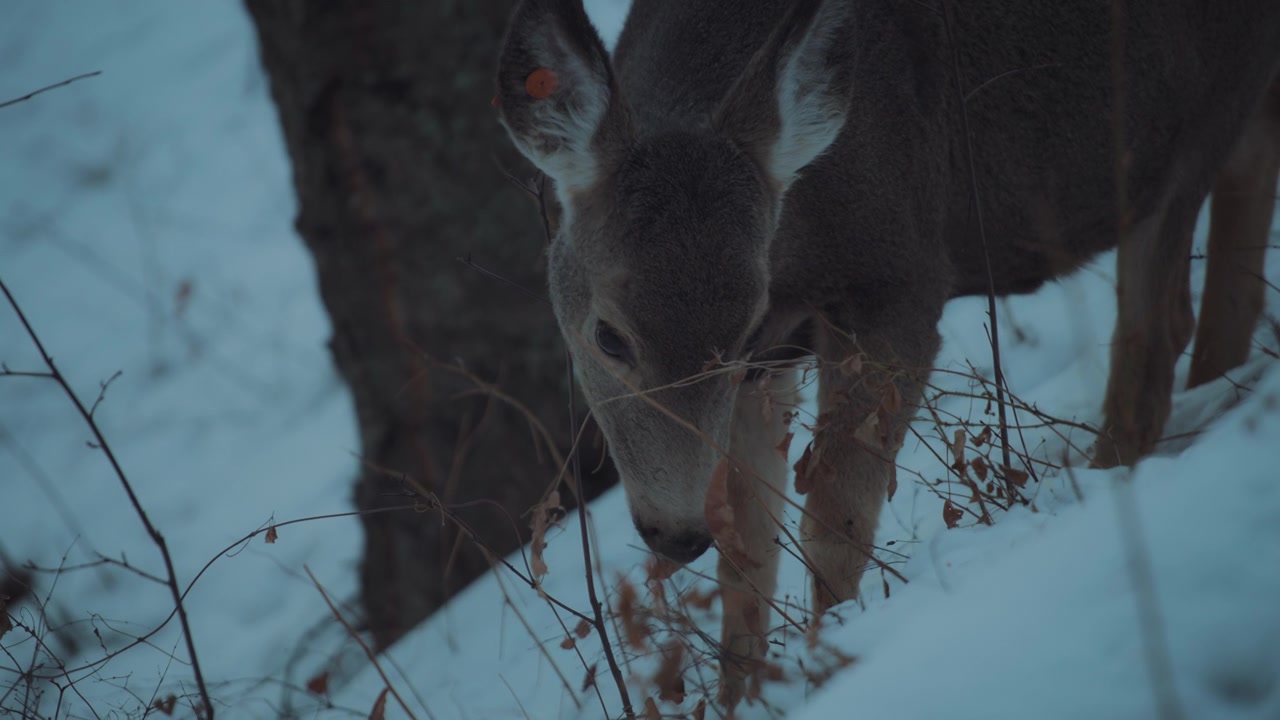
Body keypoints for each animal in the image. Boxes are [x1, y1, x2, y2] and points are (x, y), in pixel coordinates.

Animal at [494, 0, 1280, 708]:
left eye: (741, 329)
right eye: (607, 336)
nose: (676, 533)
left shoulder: (900, 277)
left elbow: (833, 527)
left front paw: (832, 666)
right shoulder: (769, 363)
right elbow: (748, 560)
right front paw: (744, 694)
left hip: (1181, 121)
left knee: (1158, 335)